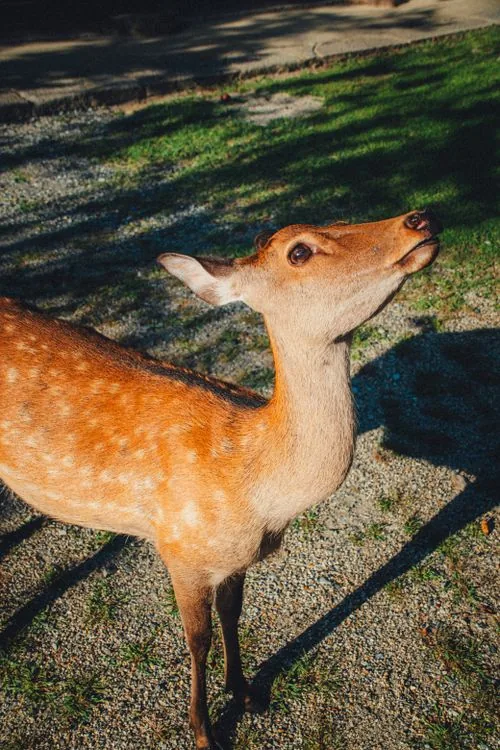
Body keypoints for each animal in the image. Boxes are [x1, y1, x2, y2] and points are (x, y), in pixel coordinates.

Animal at [0, 209, 441, 749]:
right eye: (299, 251)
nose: (419, 219)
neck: (257, 495)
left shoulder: (235, 560)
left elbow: (234, 615)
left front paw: (246, 691)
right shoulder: (181, 548)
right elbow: (198, 639)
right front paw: (203, 730)